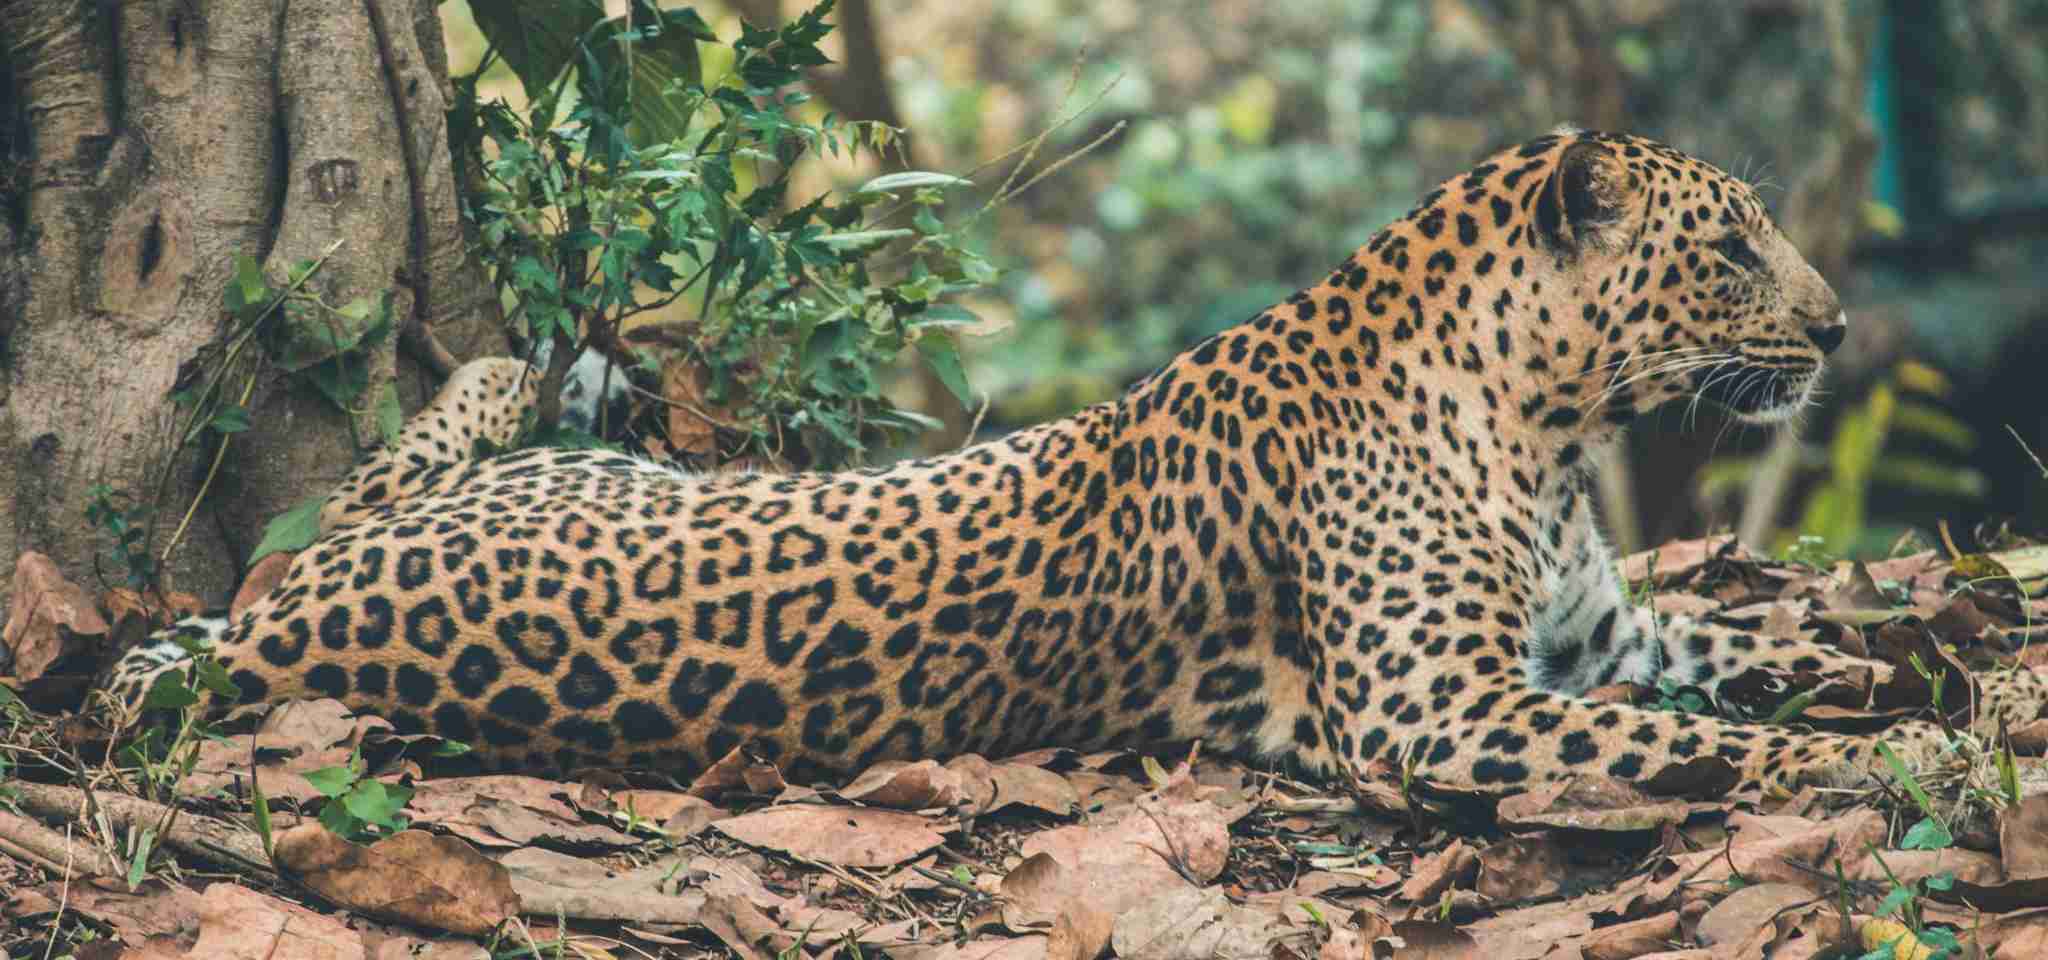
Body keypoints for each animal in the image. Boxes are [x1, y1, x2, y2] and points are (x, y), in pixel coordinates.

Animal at [100, 129, 2048, 793]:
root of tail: (275, 641)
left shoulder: (1602, 629)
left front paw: (1916, 670)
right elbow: (1674, 736)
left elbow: (1742, 642)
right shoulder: (1440, 712)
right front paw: (1843, 756)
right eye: (1729, 249)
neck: (1556, 433)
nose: (1837, 334)